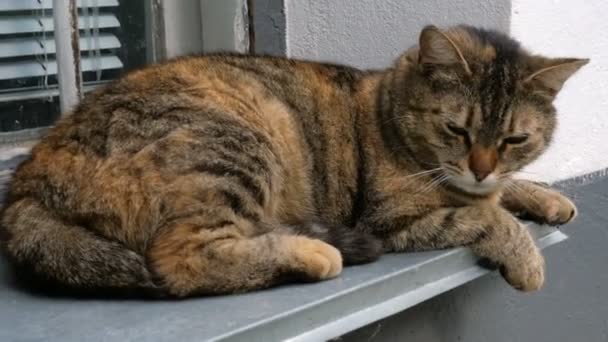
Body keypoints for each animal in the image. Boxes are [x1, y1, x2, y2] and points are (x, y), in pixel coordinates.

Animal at [0, 24, 588, 296]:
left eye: (514, 139)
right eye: (456, 129)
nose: (481, 166)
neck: (387, 107)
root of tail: (27, 179)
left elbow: (501, 194)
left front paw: (544, 195)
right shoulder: (392, 217)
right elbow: (486, 214)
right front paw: (526, 257)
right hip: (239, 140)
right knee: (181, 260)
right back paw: (312, 253)